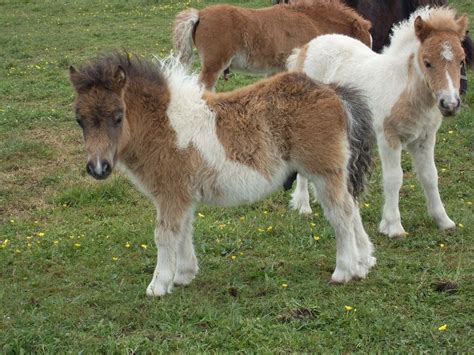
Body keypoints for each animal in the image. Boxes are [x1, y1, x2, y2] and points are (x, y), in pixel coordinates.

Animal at [69, 52, 374, 298]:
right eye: (79, 120)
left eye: (118, 116)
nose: (98, 168)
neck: (164, 126)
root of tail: (332, 91)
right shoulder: (184, 195)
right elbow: (184, 230)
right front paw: (184, 274)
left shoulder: (171, 193)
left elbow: (164, 235)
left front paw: (158, 286)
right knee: (352, 208)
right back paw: (364, 263)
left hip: (324, 172)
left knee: (341, 214)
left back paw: (344, 271)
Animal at [286, 5, 468, 238]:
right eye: (427, 62)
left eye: (461, 60)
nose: (450, 104)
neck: (405, 90)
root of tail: (306, 48)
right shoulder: (388, 138)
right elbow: (394, 178)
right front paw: (393, 226)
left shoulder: (425, 138)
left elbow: (430, 176)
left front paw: (444, 220)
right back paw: (303, 205)